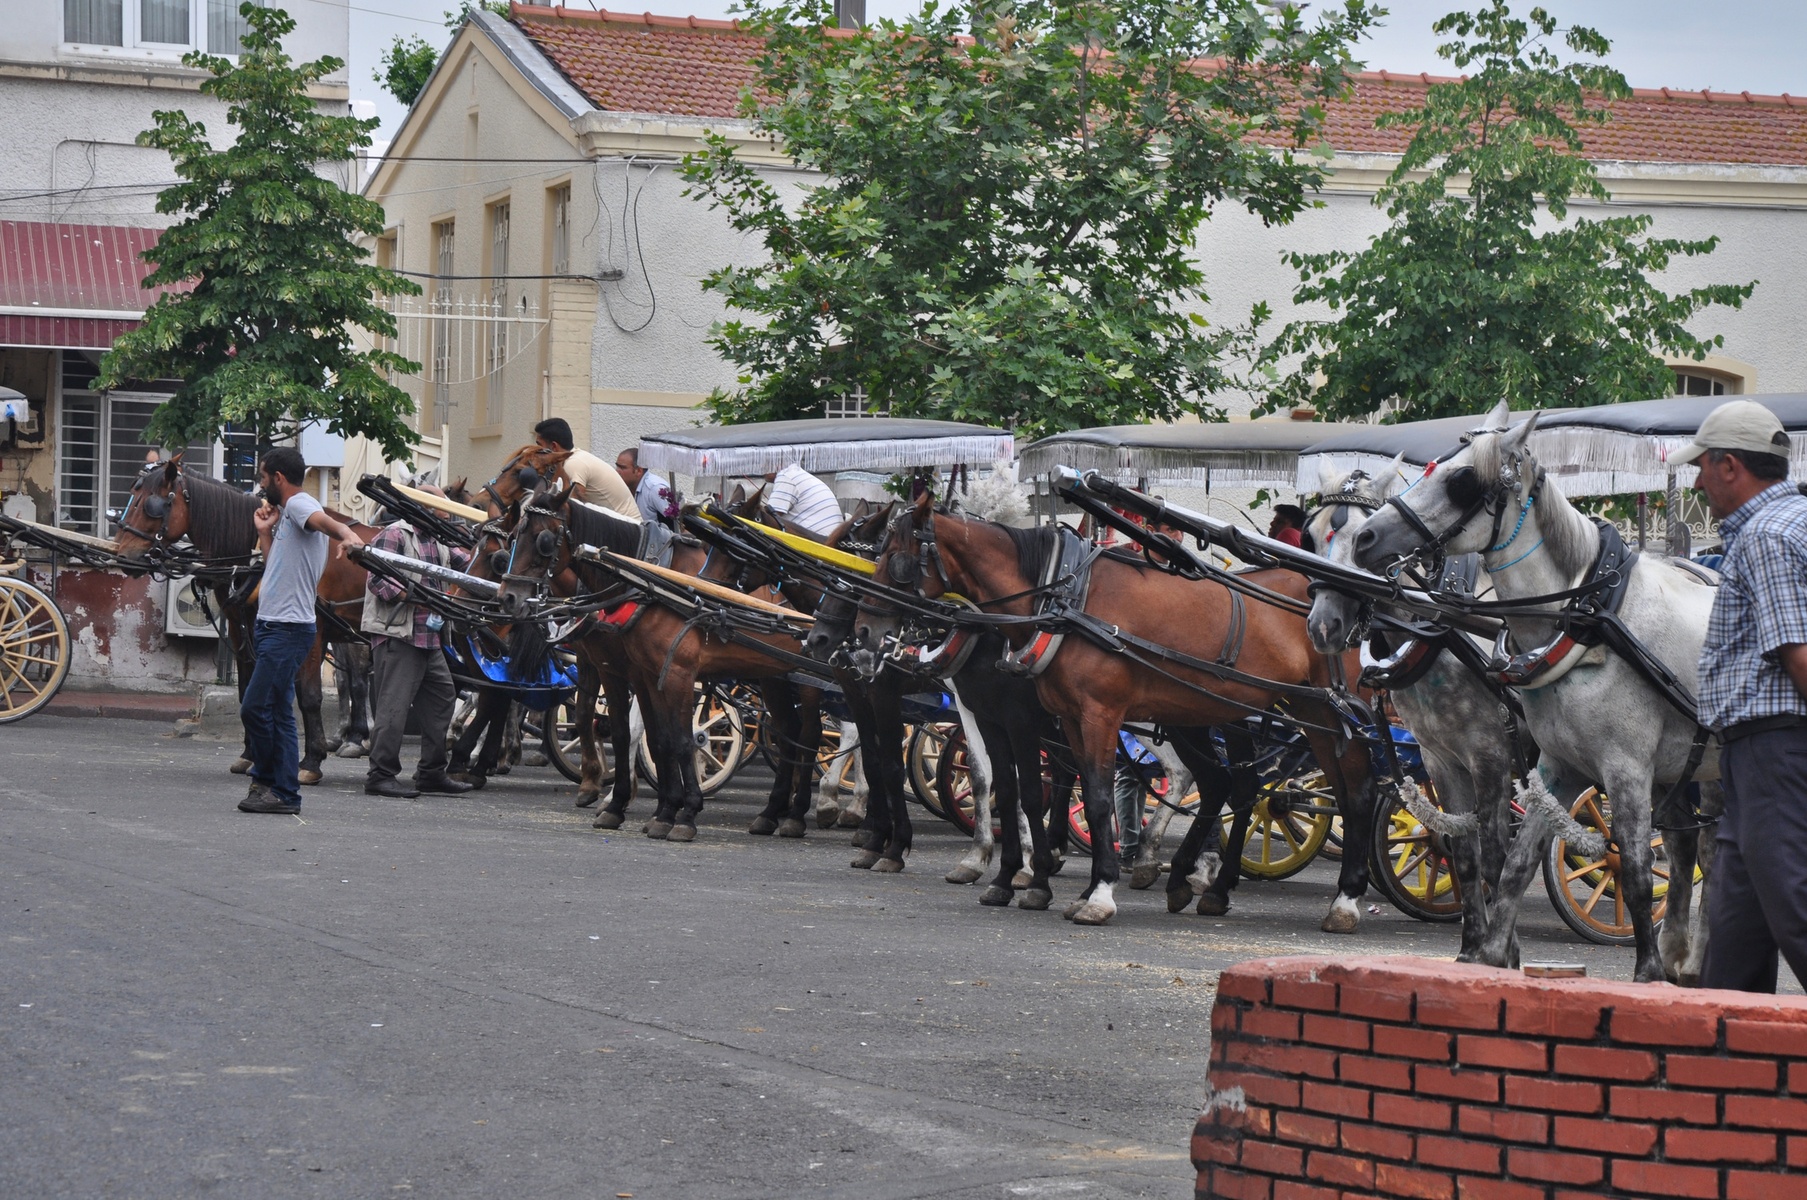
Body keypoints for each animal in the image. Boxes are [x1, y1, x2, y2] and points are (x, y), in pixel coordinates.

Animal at [116, 457, 378, 785]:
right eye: (132, 498)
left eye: (152, 505)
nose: (123, 556)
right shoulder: (246, 629)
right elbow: (250, 689)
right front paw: (251, 754)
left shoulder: (313, 630)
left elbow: (309, 695)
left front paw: (311, 760)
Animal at [860, 493, 1378, 929]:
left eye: (895, 557)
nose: (865, 631)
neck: (1064, 602)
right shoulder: (1057, 718)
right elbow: (1046, 793)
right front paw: (1052, 883)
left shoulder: (1091, 715)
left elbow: (1090, 797)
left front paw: (1093, 892)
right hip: (1280, 712)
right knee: (1239, 785)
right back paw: (1202, 885)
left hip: (1326, 713)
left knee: (1353, 793)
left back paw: (1345, 899)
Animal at [1334, 401, 1718, 983]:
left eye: (1462, 481)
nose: (1367, 540)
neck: (1589, 618)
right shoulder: (1553, 766)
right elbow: (1510, 863)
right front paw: (1492, 956)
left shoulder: (1617, 767)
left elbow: (1631, 868)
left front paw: (1647, 975)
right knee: (1696, 845)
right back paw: (1688, 959)